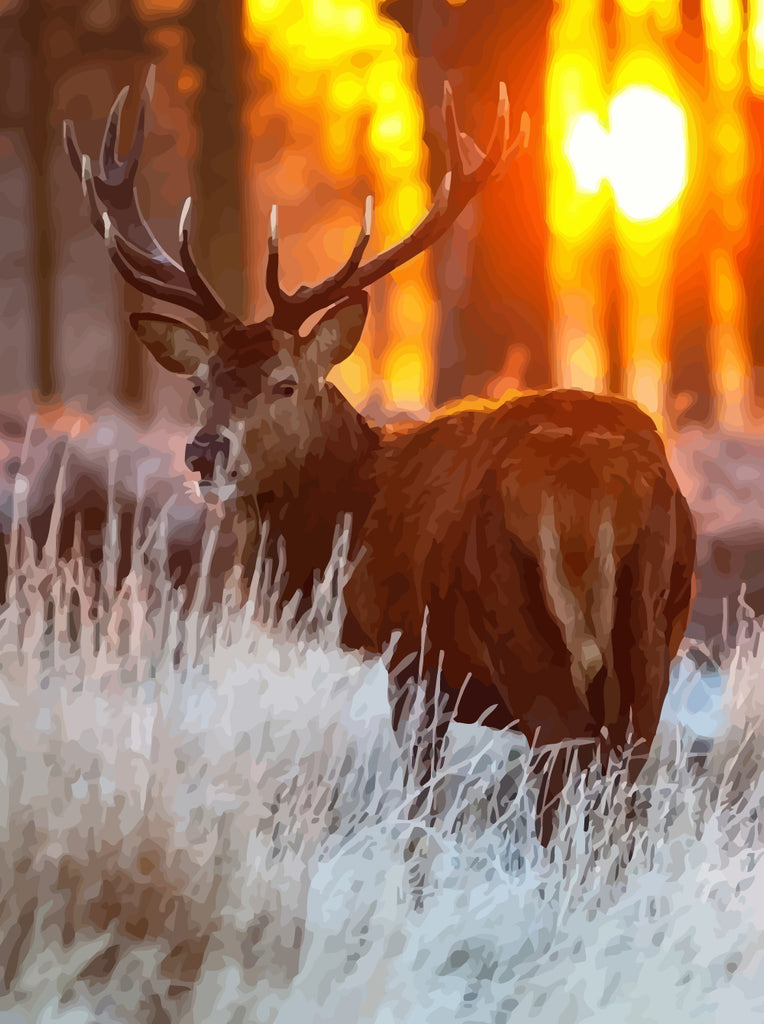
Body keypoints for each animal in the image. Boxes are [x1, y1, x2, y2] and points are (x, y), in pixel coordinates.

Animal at [64, 74, 696, 839]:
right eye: (198, 383)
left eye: (286, 382)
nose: (203, 451)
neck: (355, 513)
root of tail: (599, 487)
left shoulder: (411, 657)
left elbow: (419, 804)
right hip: (653, 636)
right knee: (624, 794)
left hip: (520, 628)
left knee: (559, 783)